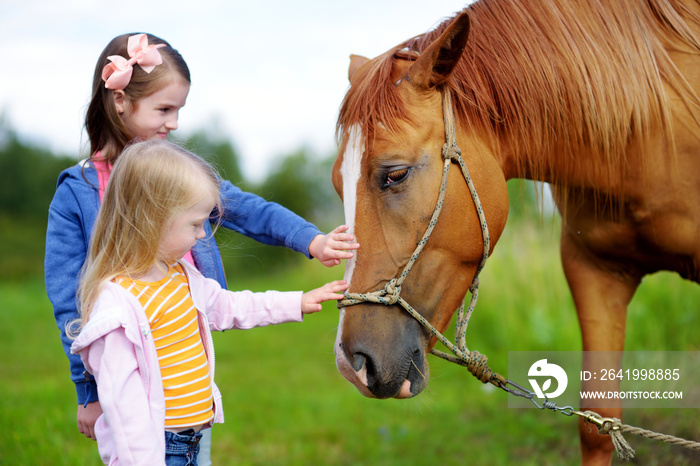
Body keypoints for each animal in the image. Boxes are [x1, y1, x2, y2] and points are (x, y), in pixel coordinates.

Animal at [330, 1, 700, 464]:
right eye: (337, 185)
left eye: (395, 174)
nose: (352, 365)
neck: (646, 125)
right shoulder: (594, 271)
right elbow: (597, 423)